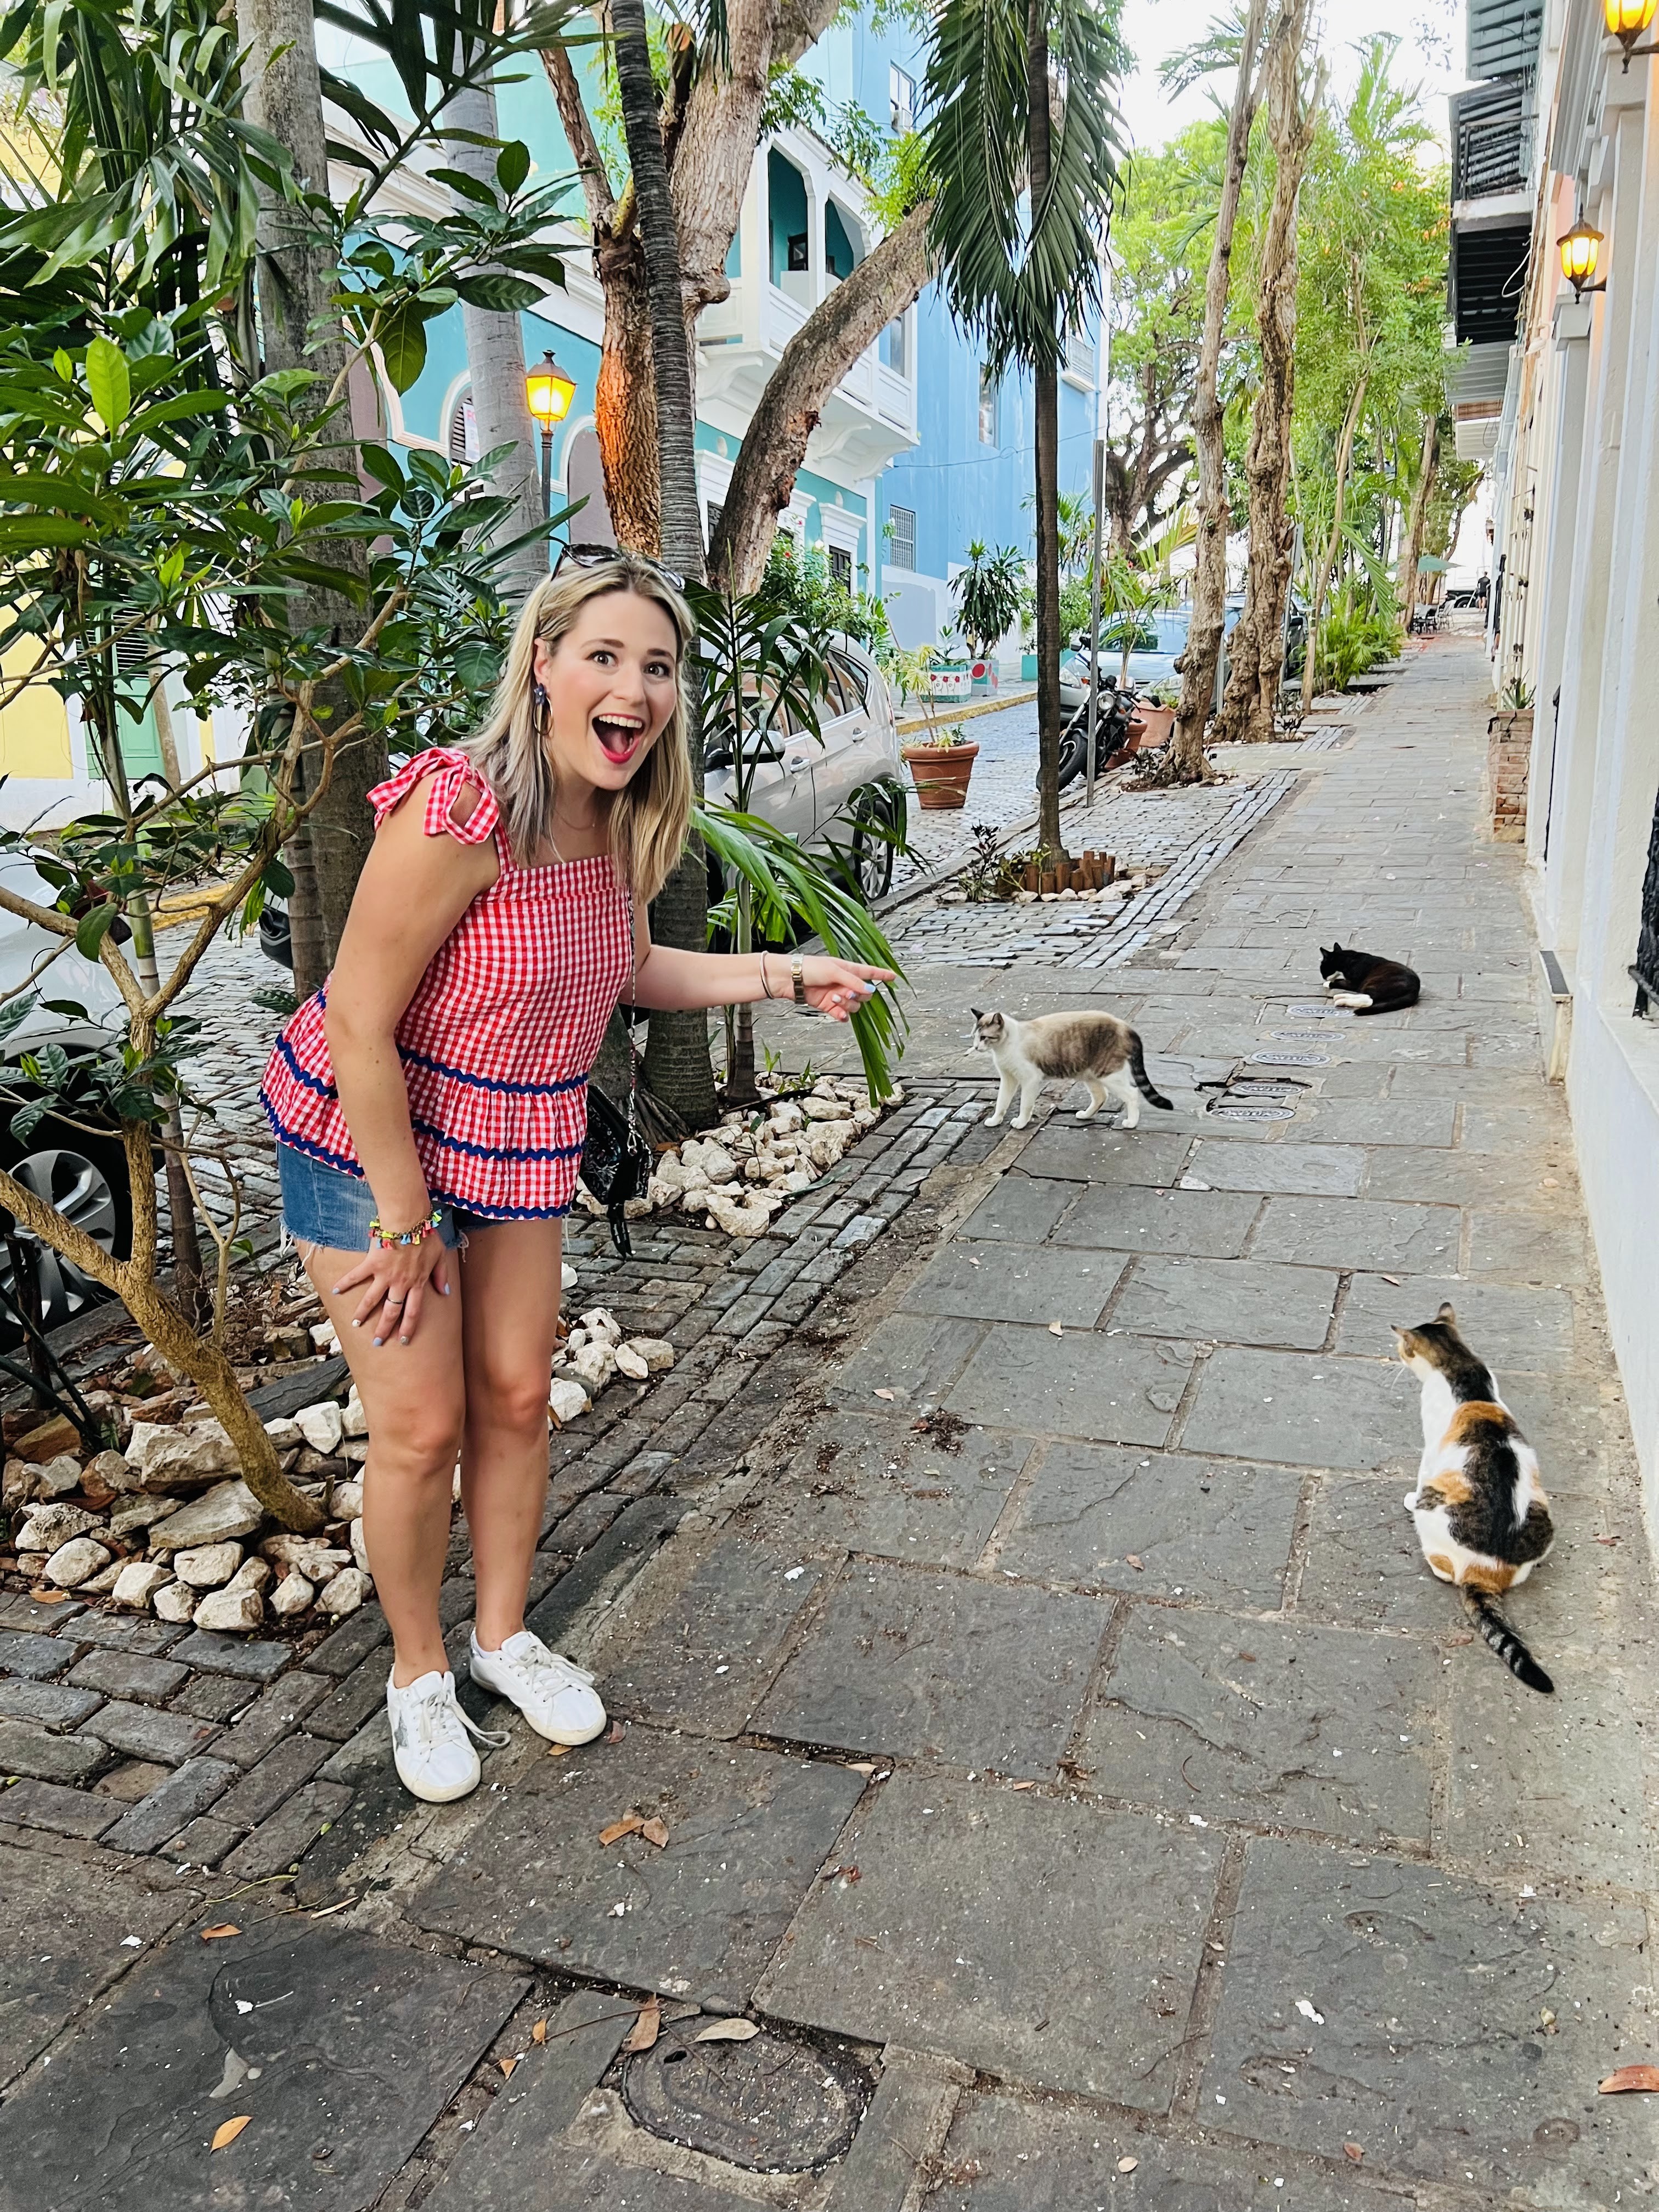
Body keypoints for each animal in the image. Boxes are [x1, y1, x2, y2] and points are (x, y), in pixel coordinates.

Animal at [969, 1013, 1177, 1132]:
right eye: (975, 1037)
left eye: (984, 1037)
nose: (976, 1047)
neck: (1003, 1048)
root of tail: (1125, 1026)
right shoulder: (1008, 1079)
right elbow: (1001, 1103)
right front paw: (995, 1121)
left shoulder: (1030, 1080)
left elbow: (1025, 1105)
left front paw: (1021, 1123)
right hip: (1089, 1073)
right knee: (1101, 1096)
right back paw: (1085, 1115)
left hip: (1108, 1074)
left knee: (1132, 1094)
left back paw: (1131, 1123)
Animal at [1318, 938, 1424, 1013]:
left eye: (1322, 968)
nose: (1323, 978)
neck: (1347, 959)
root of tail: (1415, 989)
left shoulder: (1353, 983)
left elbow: (1339, 982)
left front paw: (1327, 983)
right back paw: (1341, 997)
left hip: (1375, 983)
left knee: (1369, 999)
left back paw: (1341, 1000)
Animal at [1407, 1291, 1557, 1690]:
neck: (1460, 1365)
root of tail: (1485, 1570)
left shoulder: (1431, 1443)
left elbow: (1422, 1471)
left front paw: (1407, 1497)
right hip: (1544, 1519)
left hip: (1433, 1515)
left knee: (1446, 1568)